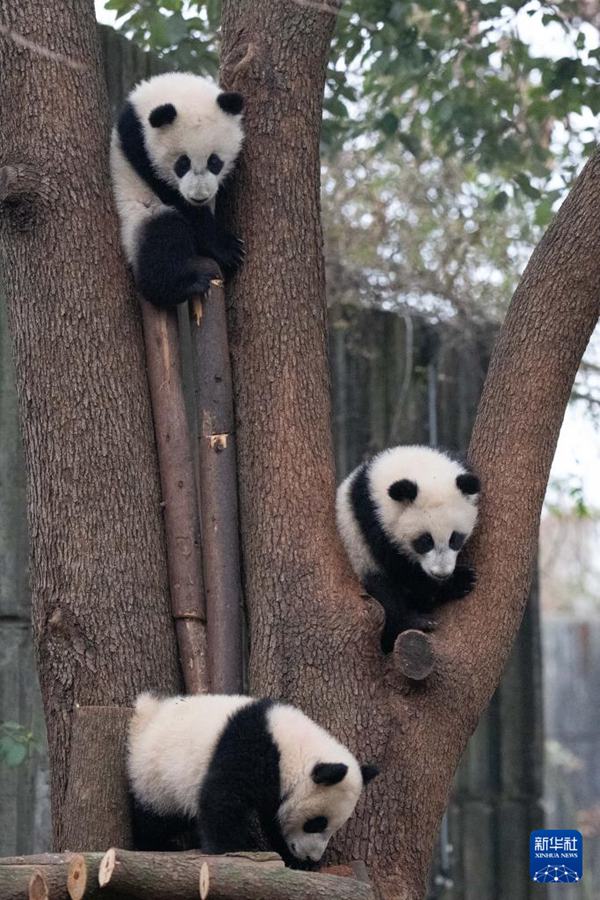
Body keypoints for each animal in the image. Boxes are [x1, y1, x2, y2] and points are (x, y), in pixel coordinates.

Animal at [110, 72, 245, 308]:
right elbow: (175, 198)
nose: (199, 197)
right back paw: (186, 285)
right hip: (140, 214)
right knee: (164, 240)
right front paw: (228, 249)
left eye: (215, 162)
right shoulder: (137, 142)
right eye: (182, 163)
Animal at [127, 692, 378, 869]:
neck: (292, 750)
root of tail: (148, 715)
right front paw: (229, 849)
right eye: (317, 823)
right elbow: (222, 798)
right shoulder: (249, 747)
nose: (312, 857)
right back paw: (155, 843)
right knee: (157, 817)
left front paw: (293, 859)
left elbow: (273, 820)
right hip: (157, 776)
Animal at [336, 445, 480, 652]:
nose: (441, 574)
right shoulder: (371, 521)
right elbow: (403, 572)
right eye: (425, 541)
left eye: (455, 539)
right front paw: (460, 581)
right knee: (384, 596)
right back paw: (415, 622)